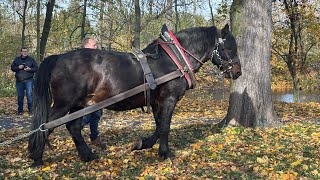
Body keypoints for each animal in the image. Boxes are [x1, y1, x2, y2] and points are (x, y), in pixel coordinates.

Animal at [28, 23, 241, 166]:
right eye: (229, 47)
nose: (238, 72)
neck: (173, 60)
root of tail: (58, 58)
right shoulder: (169, 99)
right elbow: (165, 127)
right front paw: (165, 153)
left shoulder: (157, 102)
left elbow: (159, 126)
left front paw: (142, 144)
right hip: (63, 104)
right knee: (45, 126)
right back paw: (37, 158)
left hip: (79, 105)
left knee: (73, 127)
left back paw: (87, 155)